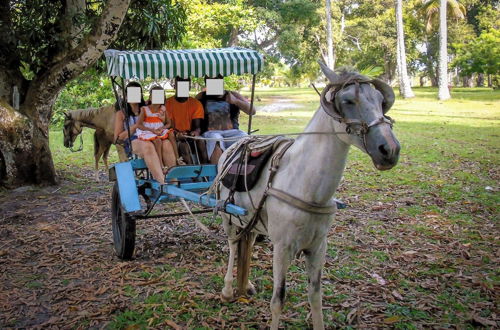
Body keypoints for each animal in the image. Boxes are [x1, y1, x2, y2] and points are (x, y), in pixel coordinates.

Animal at [217, 63, 400, 328]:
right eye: (348, 100)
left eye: (379, 100)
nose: (390, 149)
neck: (307, 187)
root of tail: (234, 145)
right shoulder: (282, 248)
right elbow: (278, 299)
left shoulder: (318, 247)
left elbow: (315, 296)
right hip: (228, 216)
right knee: (233, 245)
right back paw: (228, 290)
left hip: (251, 220)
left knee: (247, 242)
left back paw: (246, 284)